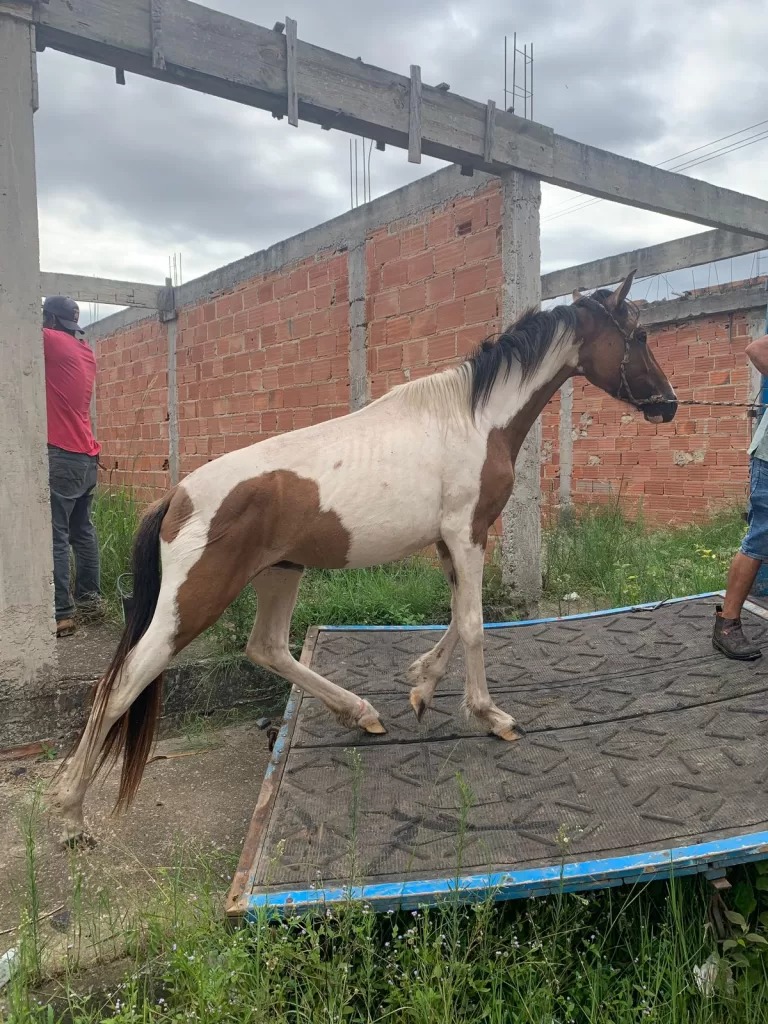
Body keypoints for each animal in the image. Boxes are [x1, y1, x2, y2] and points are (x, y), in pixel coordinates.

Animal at [48, 268, 675, 843]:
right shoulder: (468, 532)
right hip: (194, 601)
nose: (667, 405)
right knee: (125, 679)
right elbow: (474, 623)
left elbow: (456, 618)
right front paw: (489, 715)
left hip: (280, 574)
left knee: (267, 647)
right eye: (640, 334)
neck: (471, 420)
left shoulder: (450, 542)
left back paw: (361, 713)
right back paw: (70, 811)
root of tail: (176, 497)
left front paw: (421, 686)